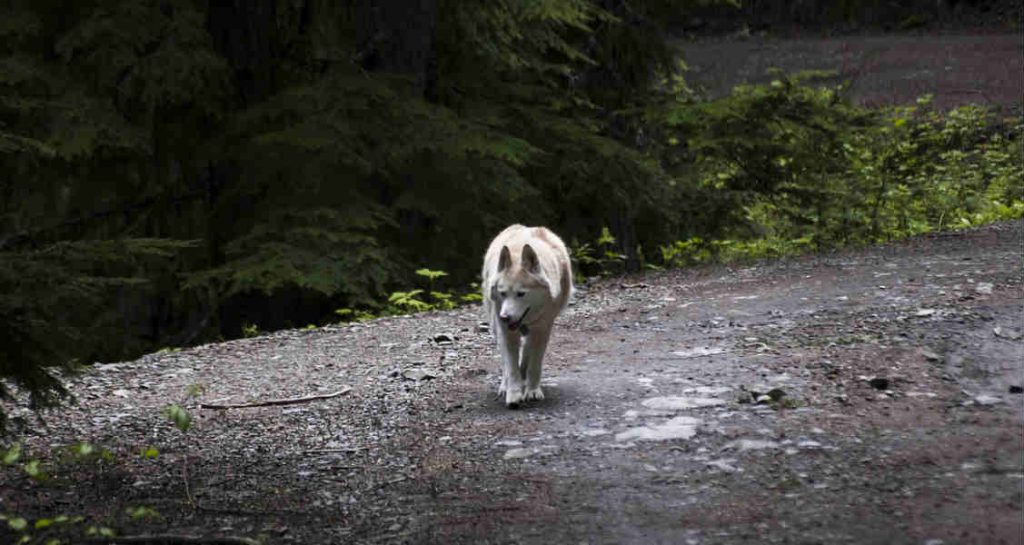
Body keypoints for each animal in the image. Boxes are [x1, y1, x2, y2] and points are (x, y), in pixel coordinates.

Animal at [481, 223, 573, 405]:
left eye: (521, 294)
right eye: (503, 293)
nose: (505, 317)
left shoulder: (543, 328)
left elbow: (535, 364)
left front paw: (532, 391)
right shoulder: (506, 331)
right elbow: (511, 367)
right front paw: (513, 394)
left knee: (527, 351)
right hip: (496, 326)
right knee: (506, 361)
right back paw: (505, 386)